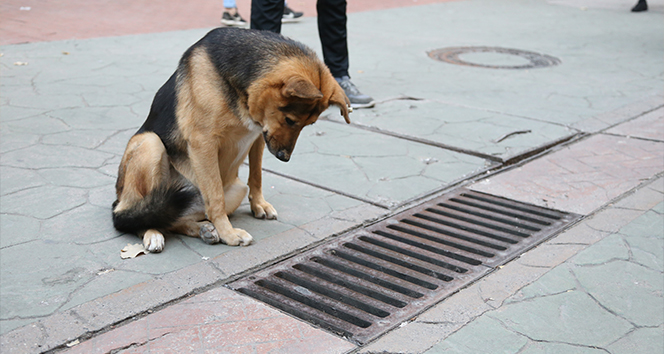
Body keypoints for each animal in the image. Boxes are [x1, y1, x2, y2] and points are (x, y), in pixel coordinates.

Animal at [113, 27, 352, 252]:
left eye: (308, 124)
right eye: (290, 120)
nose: (284, 158)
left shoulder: (259, 136)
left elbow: (256, 176)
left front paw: (259, 205)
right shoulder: (203, 142)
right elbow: (215, 197)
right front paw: (228, 234)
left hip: (234, 191)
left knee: (174, 220)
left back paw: (203, 230)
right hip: (150, 144)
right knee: (132, 217)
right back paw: (153, 233)